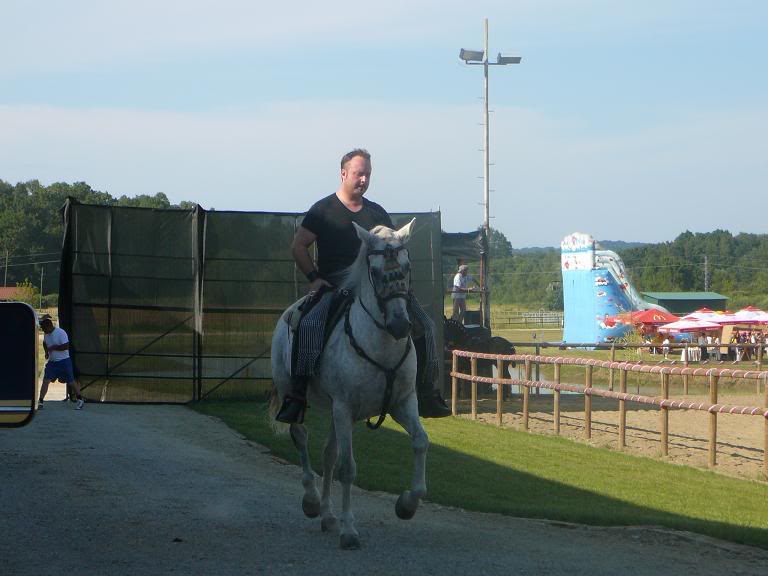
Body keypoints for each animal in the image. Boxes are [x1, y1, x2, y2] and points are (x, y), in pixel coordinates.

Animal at [268, 219, 426, 548]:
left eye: (406, 266)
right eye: (375, 271)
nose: (400, 325)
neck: (380, 344)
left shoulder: (402, 403)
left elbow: (420, 441)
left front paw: (406, 504)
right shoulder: (344, 408)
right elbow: (347, 468)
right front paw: (349, 530)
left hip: (336, 413)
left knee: (328, 455)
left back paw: (328, 515)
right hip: (295, 392)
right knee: (301, 437)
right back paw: (312, 501)